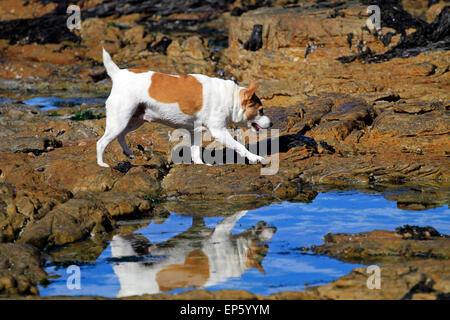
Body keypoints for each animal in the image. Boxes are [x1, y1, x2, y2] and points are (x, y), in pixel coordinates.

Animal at [97, 49, 272, 168]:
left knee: (121, 136)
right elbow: (239, 146)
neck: (230, 98)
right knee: (101, 142)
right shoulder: (219, 131)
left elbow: (196, 152)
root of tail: (118, 75)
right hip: (120, 120)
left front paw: (201, 165)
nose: (271, 124)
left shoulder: (195, 132)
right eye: (261, 110)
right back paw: (102, 164)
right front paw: (255, 157)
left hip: (134, 121)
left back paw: (128, 152)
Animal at [110, 210, 276, 298]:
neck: (238, 256)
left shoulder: (199, 228)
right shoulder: (221, 231)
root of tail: (125, 289)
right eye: (264, 247)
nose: (275, 229)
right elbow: (236, 216)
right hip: (126, 245)